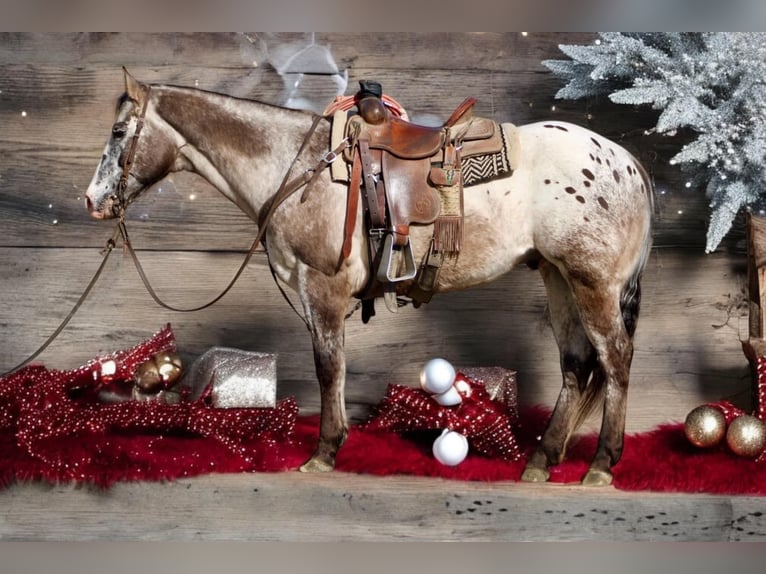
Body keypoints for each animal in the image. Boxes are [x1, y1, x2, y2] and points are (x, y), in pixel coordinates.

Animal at [85, 69, 654, 486]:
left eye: (118, 132)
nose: (92, 200)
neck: (301, 166)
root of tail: (627, 161)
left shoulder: (322, 287)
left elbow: (327, 366)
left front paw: (324, 450)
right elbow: (333, 365)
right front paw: (335, 442)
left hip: (592, 283)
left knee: (616, 361)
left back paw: (602, 463)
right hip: (558, 278)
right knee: (577, 365)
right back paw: (542, 460)